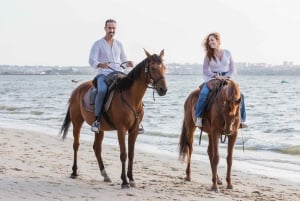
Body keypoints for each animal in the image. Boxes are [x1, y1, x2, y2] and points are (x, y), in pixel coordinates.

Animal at [59, 49, 168, 188]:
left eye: (164, 67)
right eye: (153, 68)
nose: (163, 89)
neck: (131, 97)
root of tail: (76, 90)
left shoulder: (134, 130)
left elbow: (131, 154)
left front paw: (131, 179)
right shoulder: (121, 129)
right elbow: (123, 154)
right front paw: (124, 181)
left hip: (100, 129)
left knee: (97, 148)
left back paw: (105, 175)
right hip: (77, 122)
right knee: (76, 145)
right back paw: (74, 172)